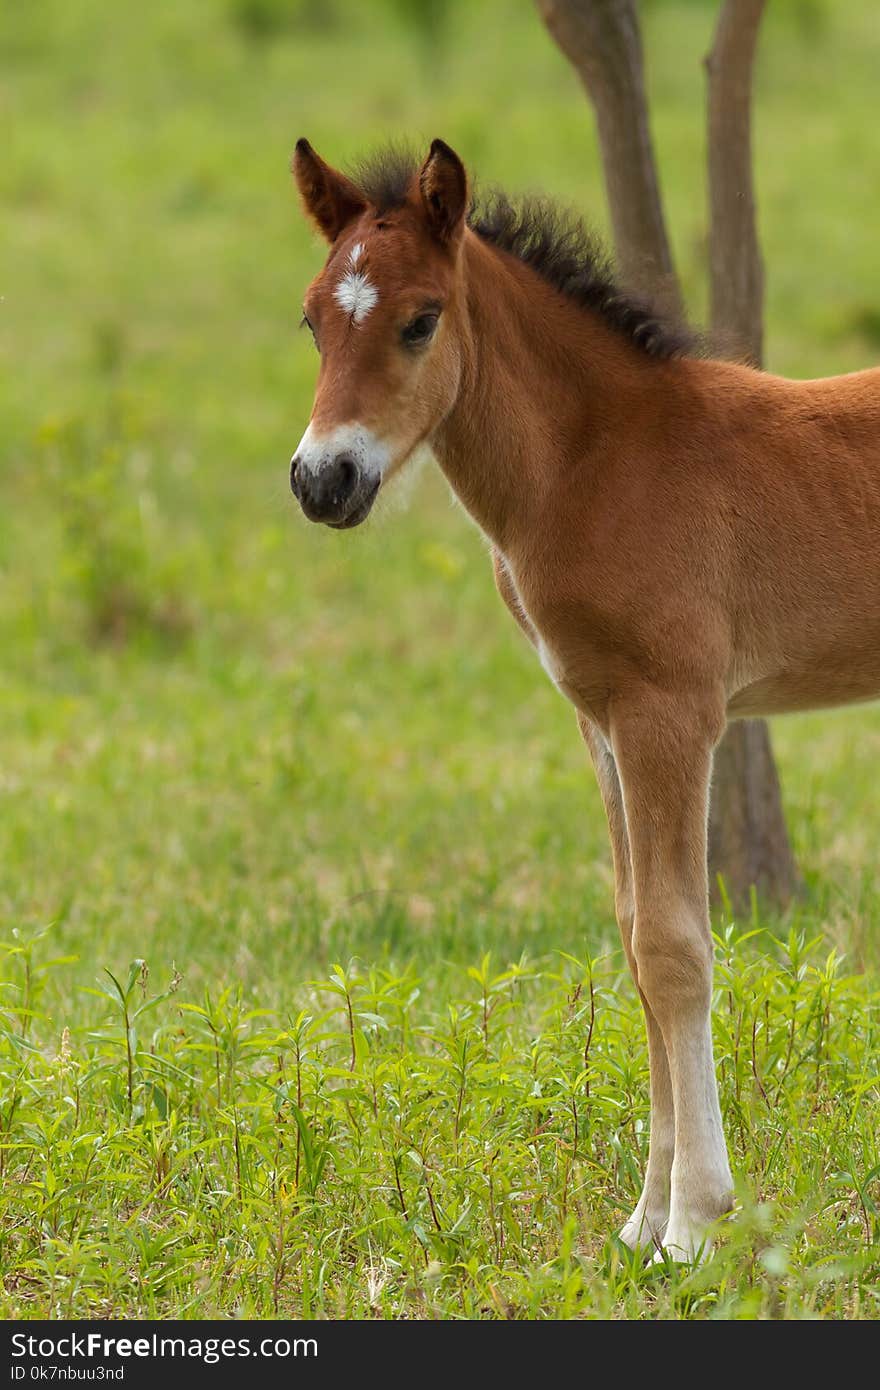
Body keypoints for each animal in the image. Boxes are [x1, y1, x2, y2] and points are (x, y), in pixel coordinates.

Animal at [287, 138, 878, 1262]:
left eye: (420, 319)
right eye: (311, 320)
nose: (320, 481)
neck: (596, 461)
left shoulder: (672, 712)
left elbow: (674, 948)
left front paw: (695, 1223)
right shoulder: (599, 717)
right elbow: (633, 935)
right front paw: (640, 1222)